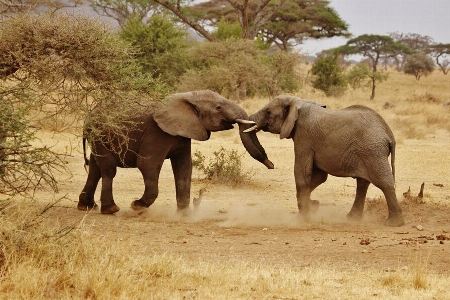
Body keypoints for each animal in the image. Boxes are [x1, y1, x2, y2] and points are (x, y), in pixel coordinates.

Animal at [78, 90, 258, 214]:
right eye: (218, 107)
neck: (187, 97)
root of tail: (88, 116)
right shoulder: (157, 133)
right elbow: (147, 164)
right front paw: (136, 206)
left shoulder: (183, 134)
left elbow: (184, 167)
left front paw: (184, 215)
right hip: (100, 135)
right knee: (108, 169)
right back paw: (111, 210)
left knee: (95, 168)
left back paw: (86, 207)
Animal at [241, 95, 406, 226]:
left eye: (268, 111)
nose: (272, 165)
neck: (298, 102)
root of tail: (389, 135)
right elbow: (319, 177)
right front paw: (313, 206)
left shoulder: (304, 137)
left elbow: (302, 173)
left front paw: (304, 218)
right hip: (367, 152)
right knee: (363, 183)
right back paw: (352, 218)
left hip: (372, 151)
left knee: (383, 182)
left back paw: (393, 223)